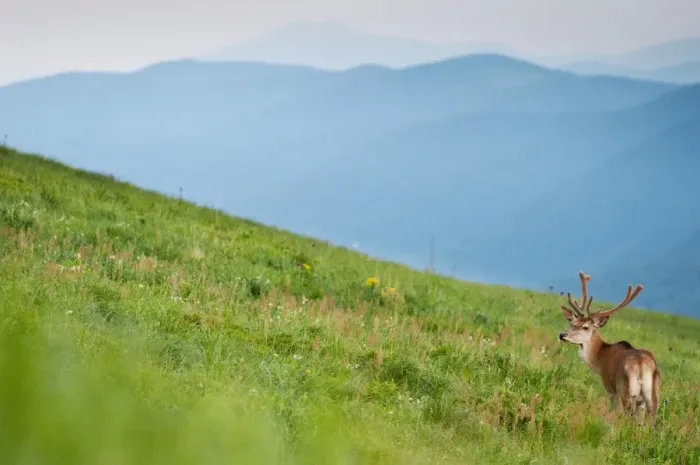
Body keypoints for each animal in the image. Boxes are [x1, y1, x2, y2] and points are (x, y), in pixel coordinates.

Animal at [558, 271, 661, 424]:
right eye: (572, 323)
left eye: (585, 327)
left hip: (626, 389)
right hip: (652, 393)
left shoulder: (611, 389)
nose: (562, 335)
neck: (600, 360)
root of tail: (641, 364)